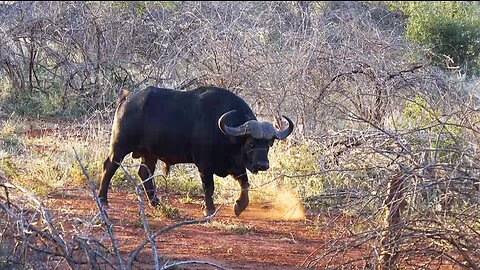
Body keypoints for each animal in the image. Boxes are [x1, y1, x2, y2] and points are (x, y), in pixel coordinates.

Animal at [97, 85, 292, 216]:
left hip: (149, 154)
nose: (262, 164)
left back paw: (156, 203)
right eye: (251, 143)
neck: (226, 135)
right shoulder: (204, 165)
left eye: (269, 144)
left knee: (145, 173)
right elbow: (209, 187)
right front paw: (209, 209)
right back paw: (103, 200)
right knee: (109, 166)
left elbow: (245, 183)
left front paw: (239, 206)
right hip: (119, 146)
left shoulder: (236, 166)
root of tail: (127, 99)